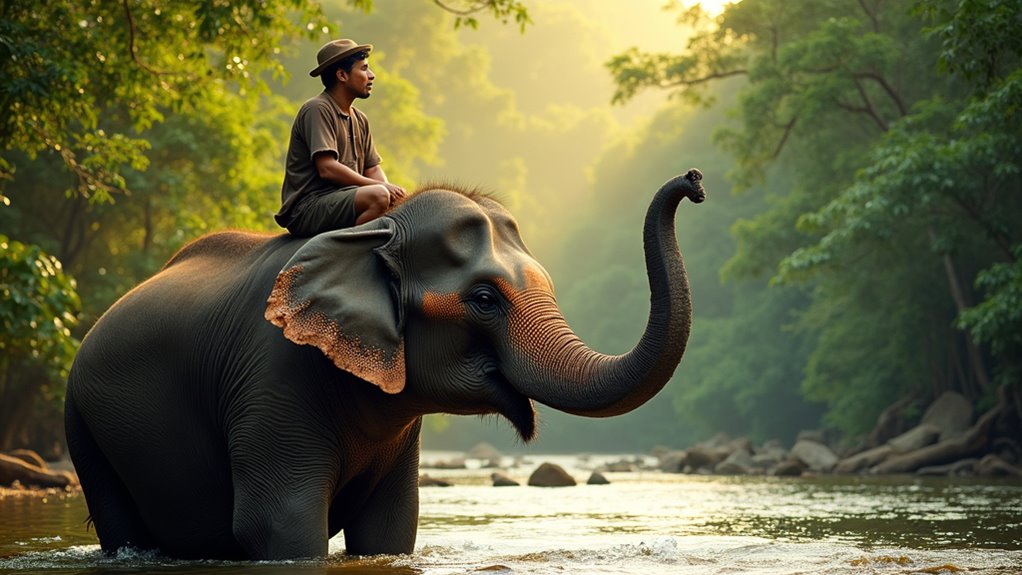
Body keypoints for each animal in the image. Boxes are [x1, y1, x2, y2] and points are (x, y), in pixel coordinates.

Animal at [64, 169, 706, 560]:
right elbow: (278, 522)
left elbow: (391, 526)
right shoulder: (272, 379)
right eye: (484, 299)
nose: (694, 182)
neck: (373, 234)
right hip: (83, 423)